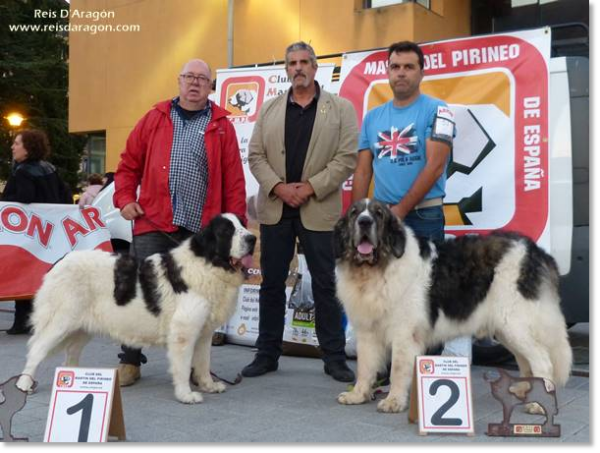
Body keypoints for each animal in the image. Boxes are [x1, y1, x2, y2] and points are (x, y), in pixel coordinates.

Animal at [16, 214, 255, 404]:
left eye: (242, 224)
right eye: (227, 231)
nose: (253, 238)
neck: (208, 263)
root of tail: (60, 261)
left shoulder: (204, 333)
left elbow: (203, 363)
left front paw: (208, 385)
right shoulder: (183, 333)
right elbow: (183, 366)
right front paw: (186, 395)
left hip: (81, 328)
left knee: (70, 354)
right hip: (61, 322)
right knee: (36, 349)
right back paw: (24, 384)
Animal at [332, 200, 572, 414]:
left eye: (378, 214)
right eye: (354, 213)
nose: (364, 222)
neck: (377, 268)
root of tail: (536, 251)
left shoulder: (404, 334)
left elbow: (398, 370)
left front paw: (393, 401)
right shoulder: (367, 332)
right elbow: (364, 367)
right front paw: (358, 395)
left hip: (514, 323)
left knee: (542, 360)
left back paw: (538, 404)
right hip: (507, 329)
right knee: (525, 361)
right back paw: (523, 390)